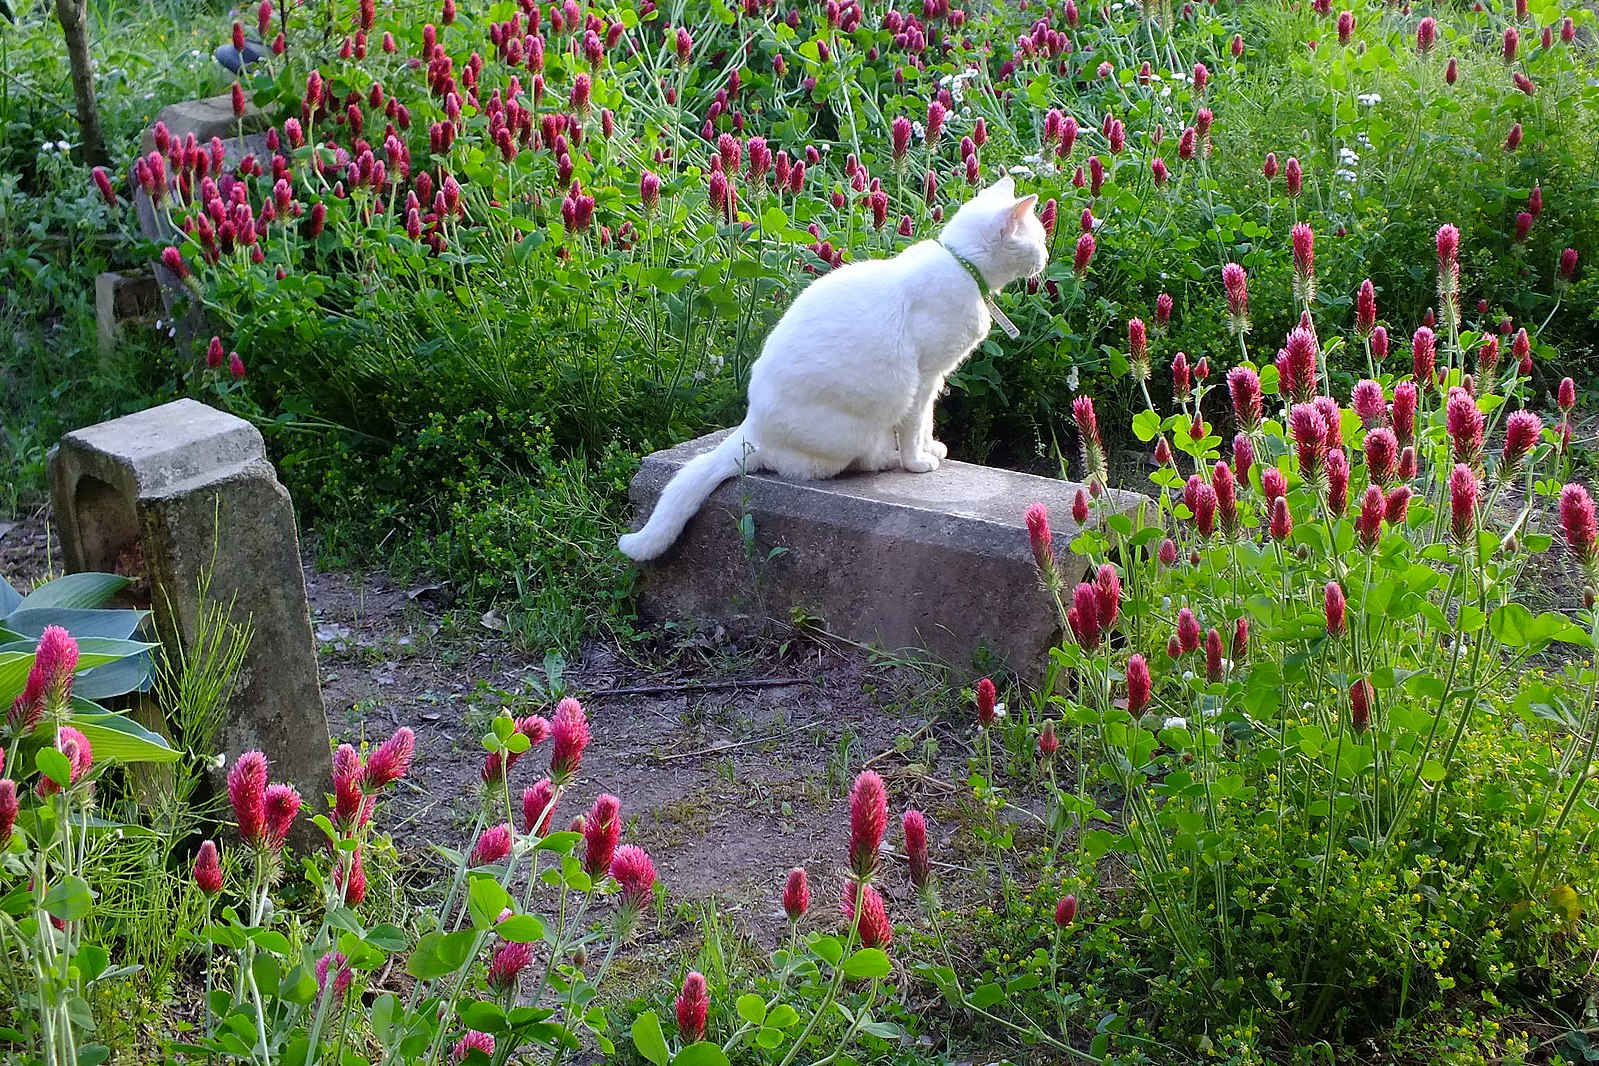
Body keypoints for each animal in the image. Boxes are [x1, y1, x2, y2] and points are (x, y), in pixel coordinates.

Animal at [614, 177, 1048, 559]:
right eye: (1040, 239)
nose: (1045, 258)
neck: (965, 267)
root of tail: (751, 430)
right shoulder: (924, 378)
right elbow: (916, 425)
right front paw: (917, 461)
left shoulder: (936, 379)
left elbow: (926, 424)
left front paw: (930, 448)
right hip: (857, 427)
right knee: (835, 464)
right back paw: (886, 458)